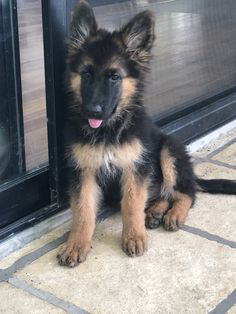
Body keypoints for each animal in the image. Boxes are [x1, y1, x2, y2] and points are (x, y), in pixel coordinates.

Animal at [57, 0, 236, 268]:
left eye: (114, 77)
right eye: (86, 74)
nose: (92, 111)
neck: (109, 130)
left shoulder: (135, 167)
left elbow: (132, 204)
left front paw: (133, 236)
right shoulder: (84, 171)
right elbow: (83, 211)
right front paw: (77, 243)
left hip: (169, 149)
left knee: (186, 193)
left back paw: (173, 214)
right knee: (162, 194)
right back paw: (154, 212)